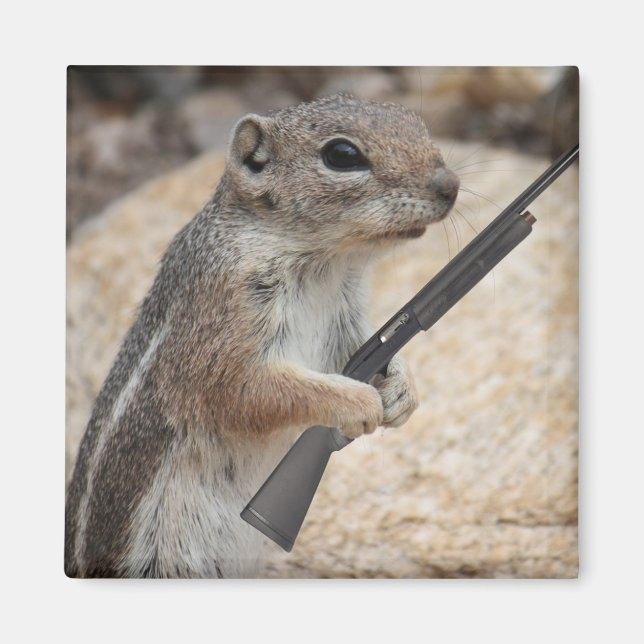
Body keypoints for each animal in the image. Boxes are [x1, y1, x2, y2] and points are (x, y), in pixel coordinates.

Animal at [64, 94, 460, 578]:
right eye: (342, 155)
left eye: (417, 122)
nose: (450, 185)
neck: (326, 265)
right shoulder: (222, 318)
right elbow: (245, 391)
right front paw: (359, 402)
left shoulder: (346, 318)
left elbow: (373, 345)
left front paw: (404, 389)